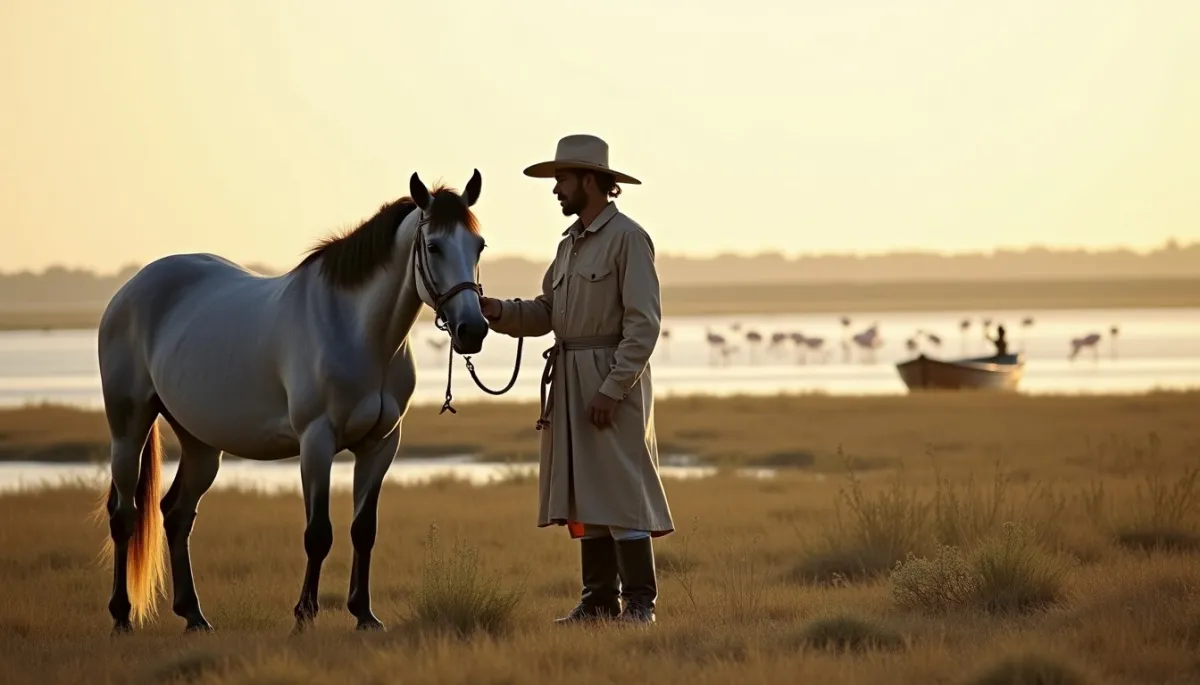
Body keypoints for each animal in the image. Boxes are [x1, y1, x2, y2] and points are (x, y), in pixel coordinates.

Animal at [94, 170, 491, 635]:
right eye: (434, 246)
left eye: (478, 245)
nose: (472, 330)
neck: (358, 333)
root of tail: (130, 290)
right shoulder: (316, 442)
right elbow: (318, 533)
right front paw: (304, 614)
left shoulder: (380, 445)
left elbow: (363, 530)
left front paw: (364, 614)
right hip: (128, 426)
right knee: (124, 515)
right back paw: (121, 616)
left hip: (201, 442)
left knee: (176, 514)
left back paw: (194, 616)